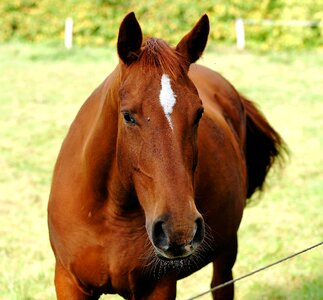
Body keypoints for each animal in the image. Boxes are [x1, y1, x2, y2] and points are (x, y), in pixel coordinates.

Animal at [48, 12, 286, 300]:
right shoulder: (68, 283)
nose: (179, 229)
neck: (110, 215)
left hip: (227, 249)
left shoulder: (159, 287)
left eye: (199, 113)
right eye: (127, 116)